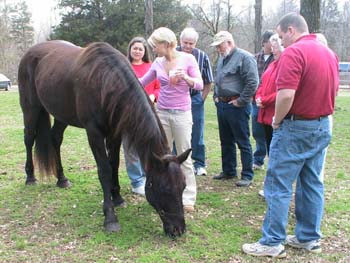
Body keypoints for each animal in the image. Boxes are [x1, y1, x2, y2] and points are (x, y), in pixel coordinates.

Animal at [17, 40, 190, 238]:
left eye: (183, 186)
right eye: (164, 189)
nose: (178, 229)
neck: (105, 82)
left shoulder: (115, 133)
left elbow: (114, 164)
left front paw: (118, 198)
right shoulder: (94, 133)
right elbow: (105, 170)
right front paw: (110, 217)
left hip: (62, 115)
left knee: (55, 138)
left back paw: (62, 179)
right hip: (31, 108)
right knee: (29, 138)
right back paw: (30, 177)